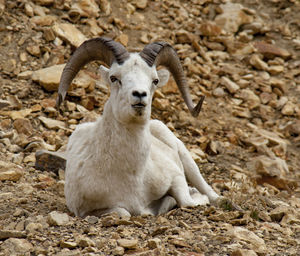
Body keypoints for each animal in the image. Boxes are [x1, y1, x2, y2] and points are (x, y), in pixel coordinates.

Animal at [56, 37, 220, 217]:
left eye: (155, 80)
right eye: (114, 78)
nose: (140, 95)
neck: (133, 176)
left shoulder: (176, 176)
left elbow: (187, 202)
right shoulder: (87, 210)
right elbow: (124, 212)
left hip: (185, 157)